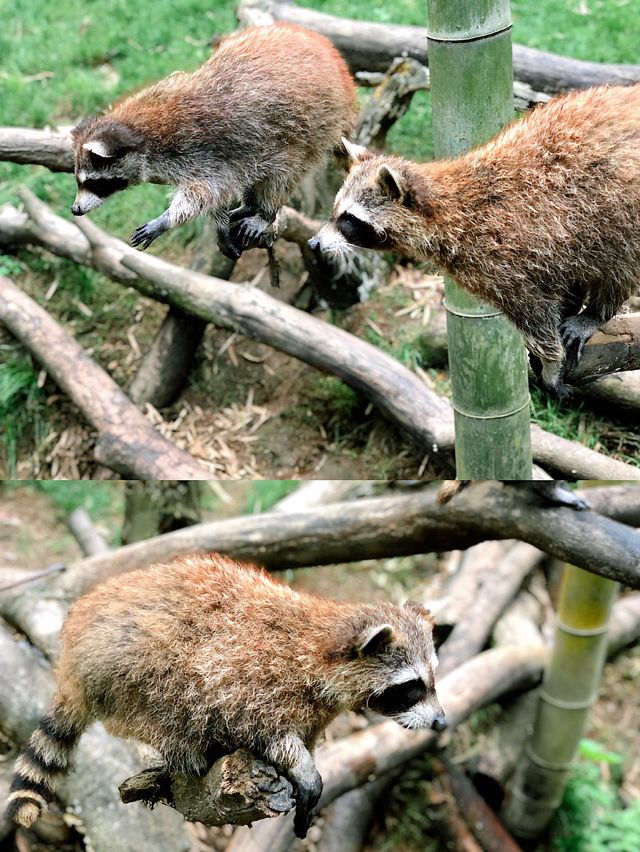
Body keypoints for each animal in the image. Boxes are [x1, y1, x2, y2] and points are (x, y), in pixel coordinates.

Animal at [6, 552, 444, 840]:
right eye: (413, 687)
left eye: (432, 679)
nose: (441, 721)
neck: (320, 646)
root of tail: (72, 667)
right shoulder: (253, 676)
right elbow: (260, 727)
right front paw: (300, 765)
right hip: (129, 668)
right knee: (169, 697)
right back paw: (187, 747)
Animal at [71, 25, 360, 260]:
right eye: (79, 181)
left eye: (94, 183)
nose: (75, 209)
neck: (140, 131)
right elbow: (217, 194)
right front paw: (219, 224)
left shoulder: (202, 149)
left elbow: (204, 193)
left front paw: (166, 220)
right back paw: (250, 205)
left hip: (312, 127)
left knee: (284, 173)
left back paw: (264, 212)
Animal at [312, 83, 640, 396]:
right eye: (334, 212)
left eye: (348, 220)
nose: (313, 243)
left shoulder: (507, 258)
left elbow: (538, 320)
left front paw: (551, 363)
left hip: (621, 211)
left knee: (620, 262)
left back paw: (598, 311)